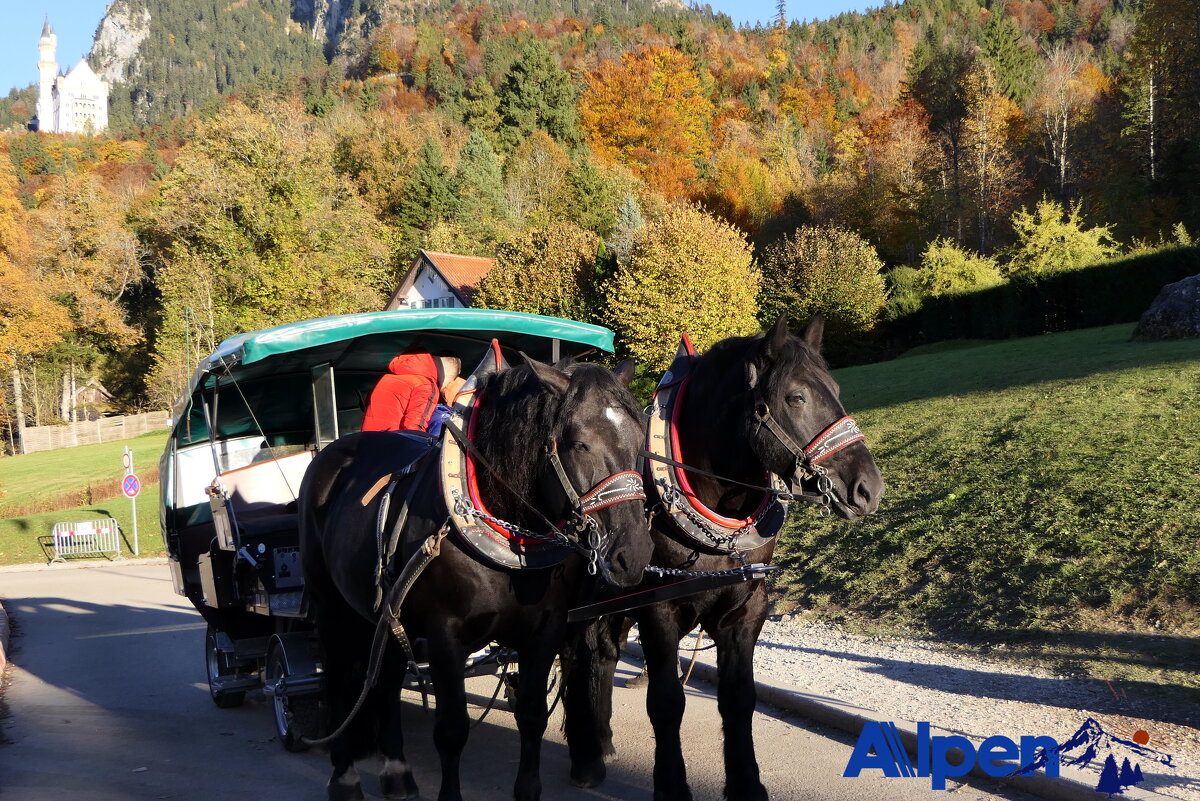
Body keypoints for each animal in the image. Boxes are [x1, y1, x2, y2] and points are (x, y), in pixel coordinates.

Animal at [300, 357, 657, 801]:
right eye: (579, 444)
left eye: (639, 442)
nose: (634, 553)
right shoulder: (444, 635)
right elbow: (452, 730)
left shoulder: (545, 632)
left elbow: (532, 716)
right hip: (331, 607)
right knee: (340, 683)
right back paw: (345, 778)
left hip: (389, 615)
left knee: (384, 683)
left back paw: (397, 773)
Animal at [559, 316, 883, 796]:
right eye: (796, 397)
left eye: (836, 389)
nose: (868, 487)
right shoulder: (657, 611)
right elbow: (666, 702)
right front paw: (671, 785)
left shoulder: (746, 610)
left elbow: (738, 700)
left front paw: (747, 782)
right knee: (577, 653)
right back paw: (585, 754)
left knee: (603, 651)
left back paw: (601, 741)